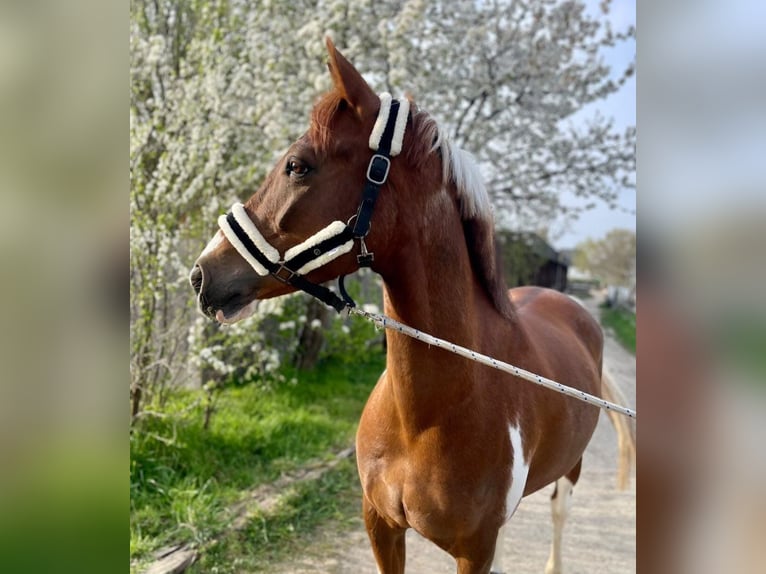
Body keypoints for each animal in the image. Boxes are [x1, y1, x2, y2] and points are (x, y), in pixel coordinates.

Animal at [190, 38, 634, 574]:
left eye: (297, 165)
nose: (203, 274)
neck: (426, 416)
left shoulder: (473, 548)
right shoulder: (381, 526)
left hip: (570, 470)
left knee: (559, 515)